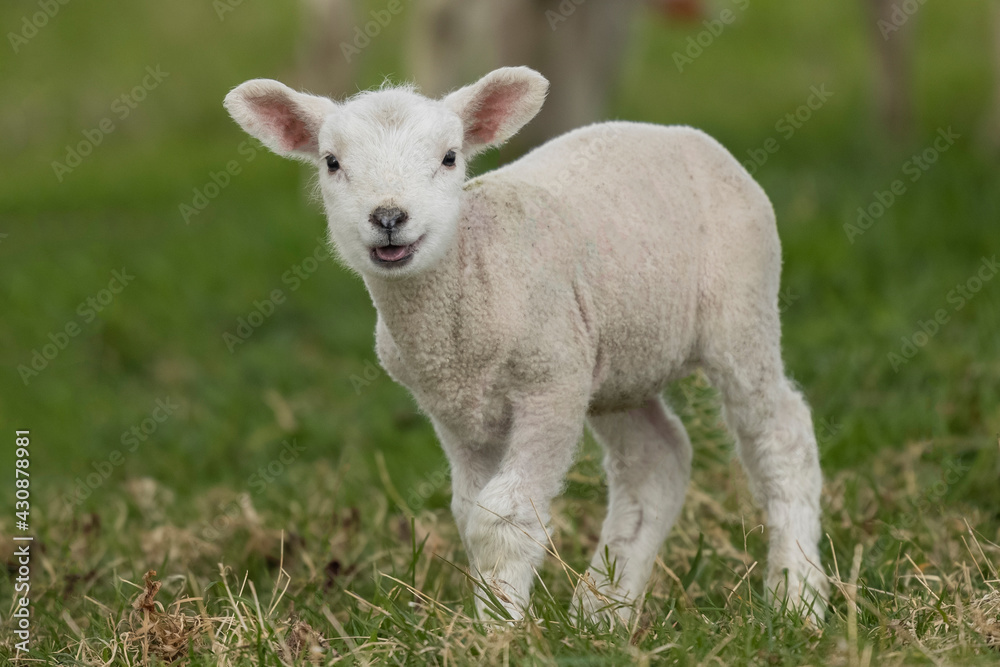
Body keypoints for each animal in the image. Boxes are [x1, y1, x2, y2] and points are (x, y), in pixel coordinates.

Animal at [227, 65, 828, 624]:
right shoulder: (454, 410)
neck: (471, 275)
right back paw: (602, 612)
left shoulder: (549, 384)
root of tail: (680, 134)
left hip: (740, 308)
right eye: (331, 162)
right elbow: (470, 514)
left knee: (783, 434)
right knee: (655, 461)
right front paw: (487, 621)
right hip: (616, 362)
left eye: (449, 158)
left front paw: (501, 630)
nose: (389, 217)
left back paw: (797, 596)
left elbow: (503, 517)